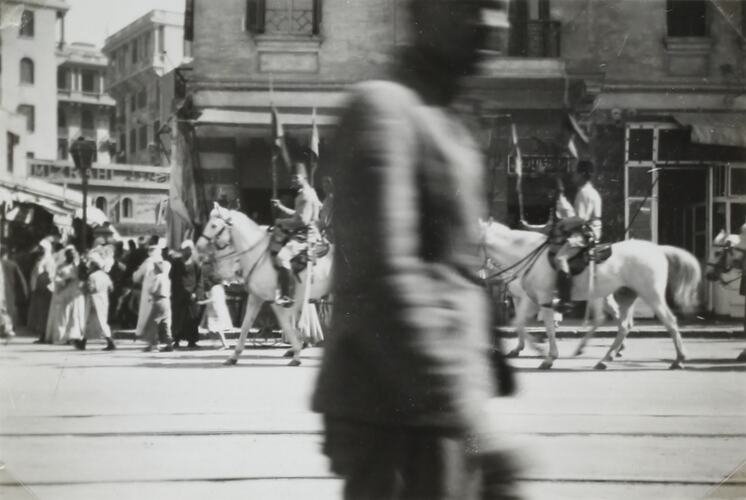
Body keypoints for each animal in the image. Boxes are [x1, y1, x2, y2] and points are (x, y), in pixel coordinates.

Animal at [195, 203, 332, 368]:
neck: (258, 255)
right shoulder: (255, 298)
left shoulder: (276, 302)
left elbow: (287, 327)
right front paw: (233, 356)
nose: (199, 246)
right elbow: (245, 326)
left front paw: (297, 354)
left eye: (214, 225)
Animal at [480, 221, 700, 370]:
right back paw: (605, 359)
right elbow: (518, 323)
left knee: (669, 322)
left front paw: (548, 356)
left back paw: (679, 360)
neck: (526, 255)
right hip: (626, 295)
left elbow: (549, 328)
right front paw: (532, 349)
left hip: (650, 294)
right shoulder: (531, 300)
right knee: (623, 325)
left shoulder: (543, 299)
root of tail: (657, 249)